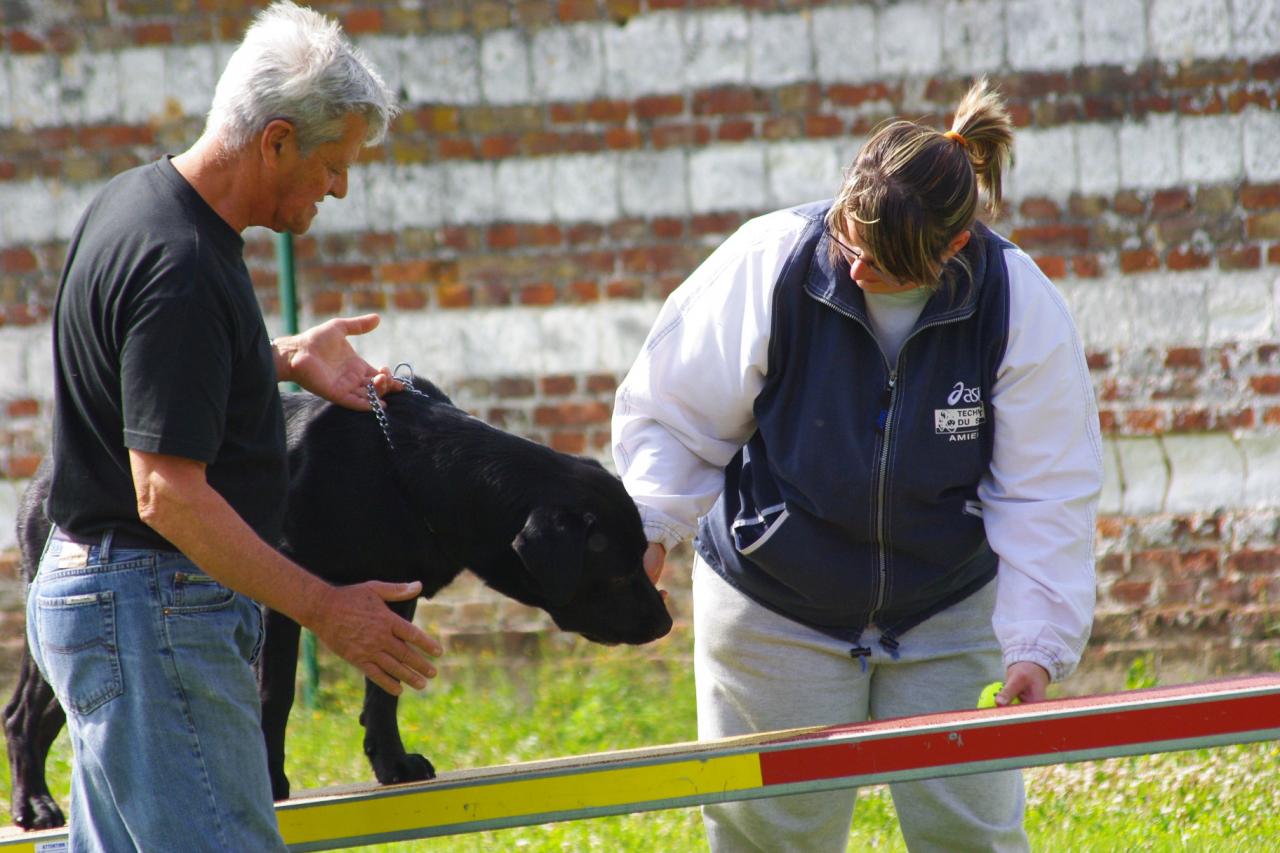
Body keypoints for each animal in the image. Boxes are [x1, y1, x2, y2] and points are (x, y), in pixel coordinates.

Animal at [5, 373, 675, 824]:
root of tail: (44, 473)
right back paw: (34, 804)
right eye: (620, 575)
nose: (666, 622)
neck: (411, 473)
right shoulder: (284, 596)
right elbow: (275, 694)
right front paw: (272, 778)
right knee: (21, 714)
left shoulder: (395, 595)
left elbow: (385, 692)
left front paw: (392, 764)